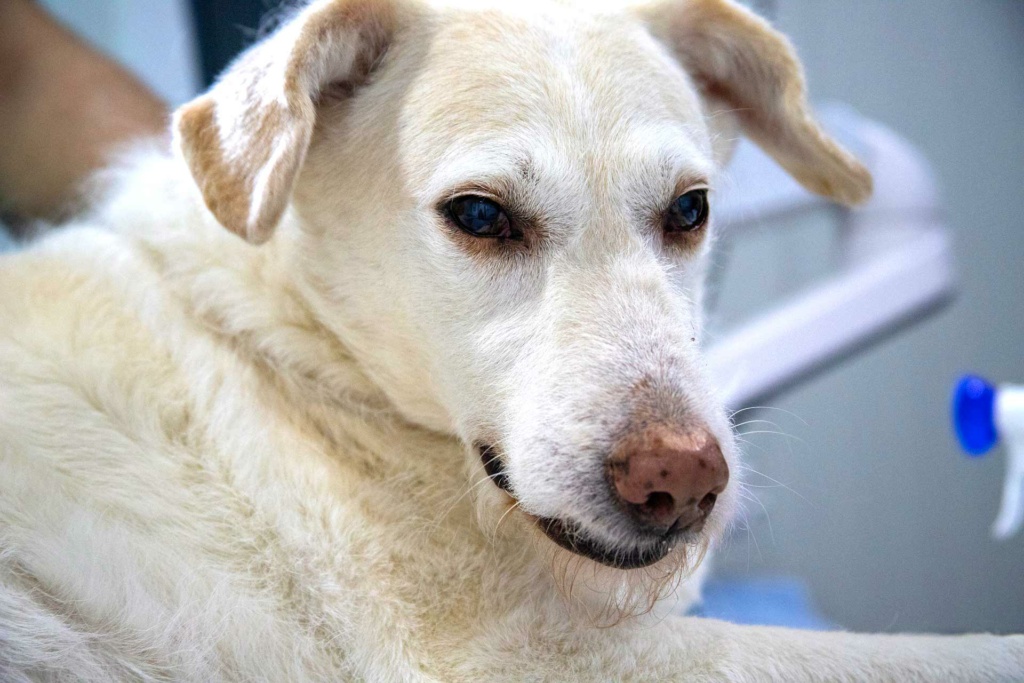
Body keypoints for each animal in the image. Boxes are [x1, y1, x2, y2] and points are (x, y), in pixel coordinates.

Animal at [2, 1, 1024, 679]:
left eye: (691, 209)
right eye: (481, 215)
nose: (684, 480)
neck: (298, 354)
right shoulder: (516, 658)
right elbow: (946, 654)